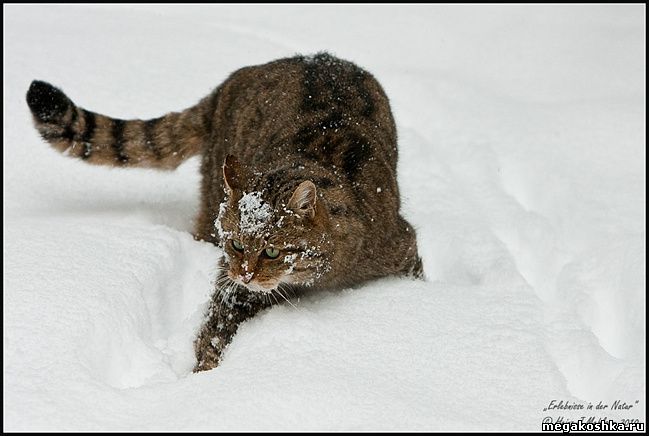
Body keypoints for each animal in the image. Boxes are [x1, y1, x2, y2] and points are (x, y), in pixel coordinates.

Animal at [25, 51, 422, 372]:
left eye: (272, 250)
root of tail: (229, 83)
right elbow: (214, 331)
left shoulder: (403, 248)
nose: (244, 273)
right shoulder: (233, 287)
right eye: (236, 244)